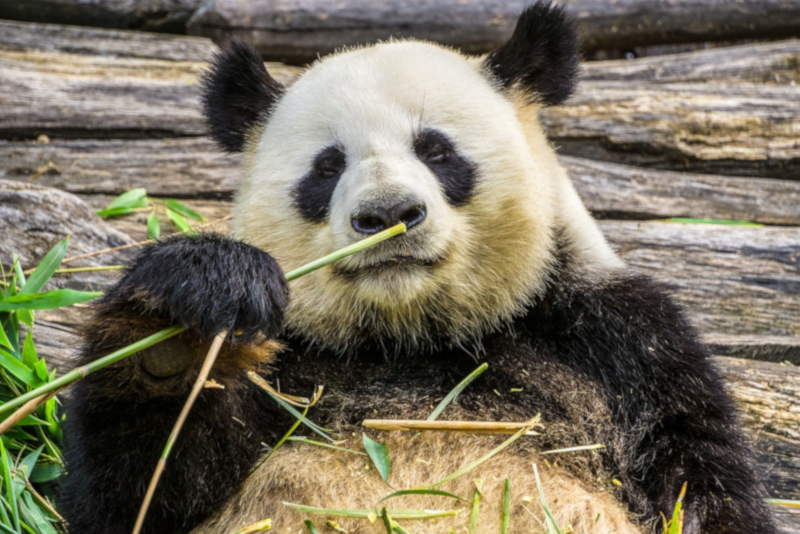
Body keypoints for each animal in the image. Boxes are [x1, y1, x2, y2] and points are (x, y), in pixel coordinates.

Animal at [59, 3, 777, 534]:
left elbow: (701, 485)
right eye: (327, 166)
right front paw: (186, 323)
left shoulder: (623, 348)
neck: (412, 338)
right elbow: (142, 494)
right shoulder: (292, 365)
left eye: (436, 150)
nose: (387, 214)